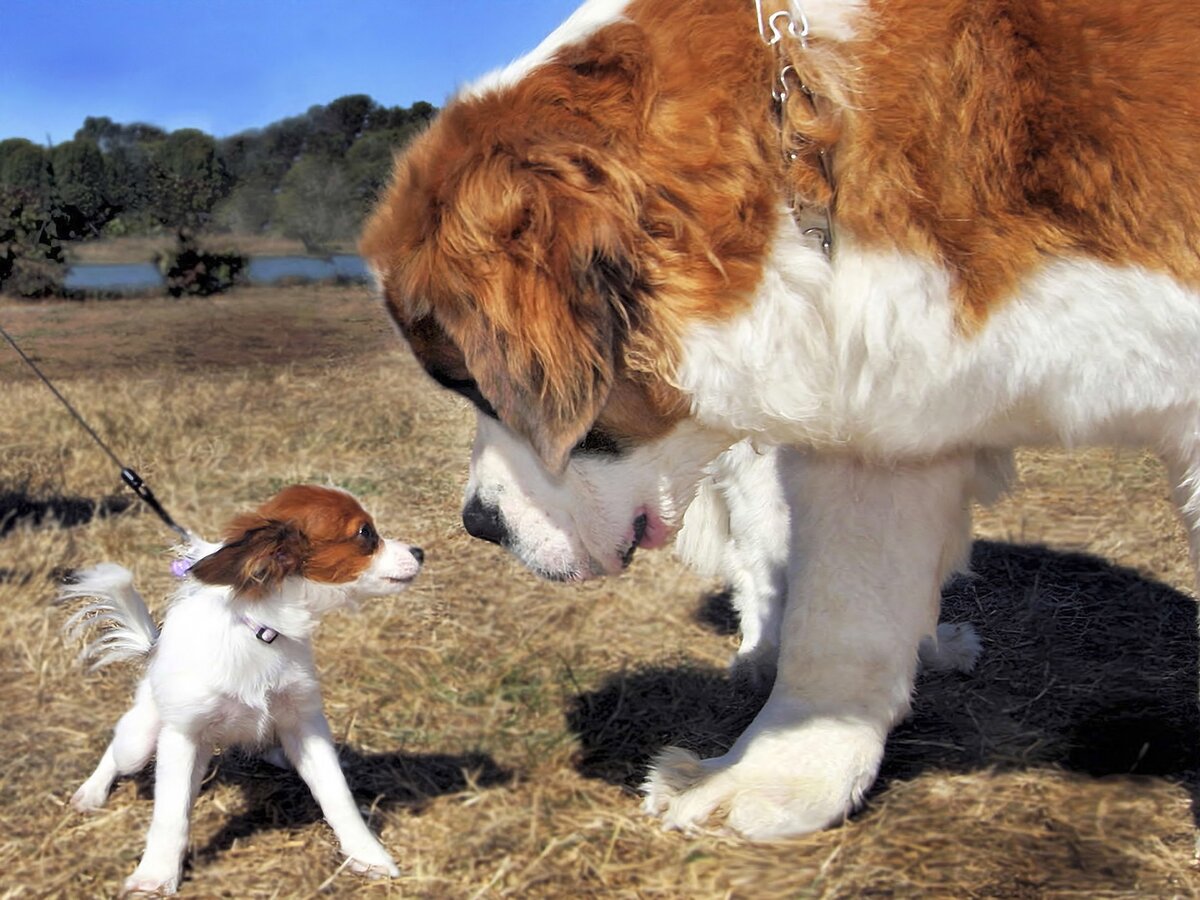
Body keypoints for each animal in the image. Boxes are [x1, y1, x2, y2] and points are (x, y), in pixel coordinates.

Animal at [63, 489, 427, 897]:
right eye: (366, 534)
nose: (419, 552)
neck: (262, 631)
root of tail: (152, 648)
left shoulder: (305, 723)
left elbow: (338, 795)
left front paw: (367, 855)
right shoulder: (182, 736)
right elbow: (171, 814)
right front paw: (155, 876)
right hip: (140, 740)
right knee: (118, 751)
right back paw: (91, 791)